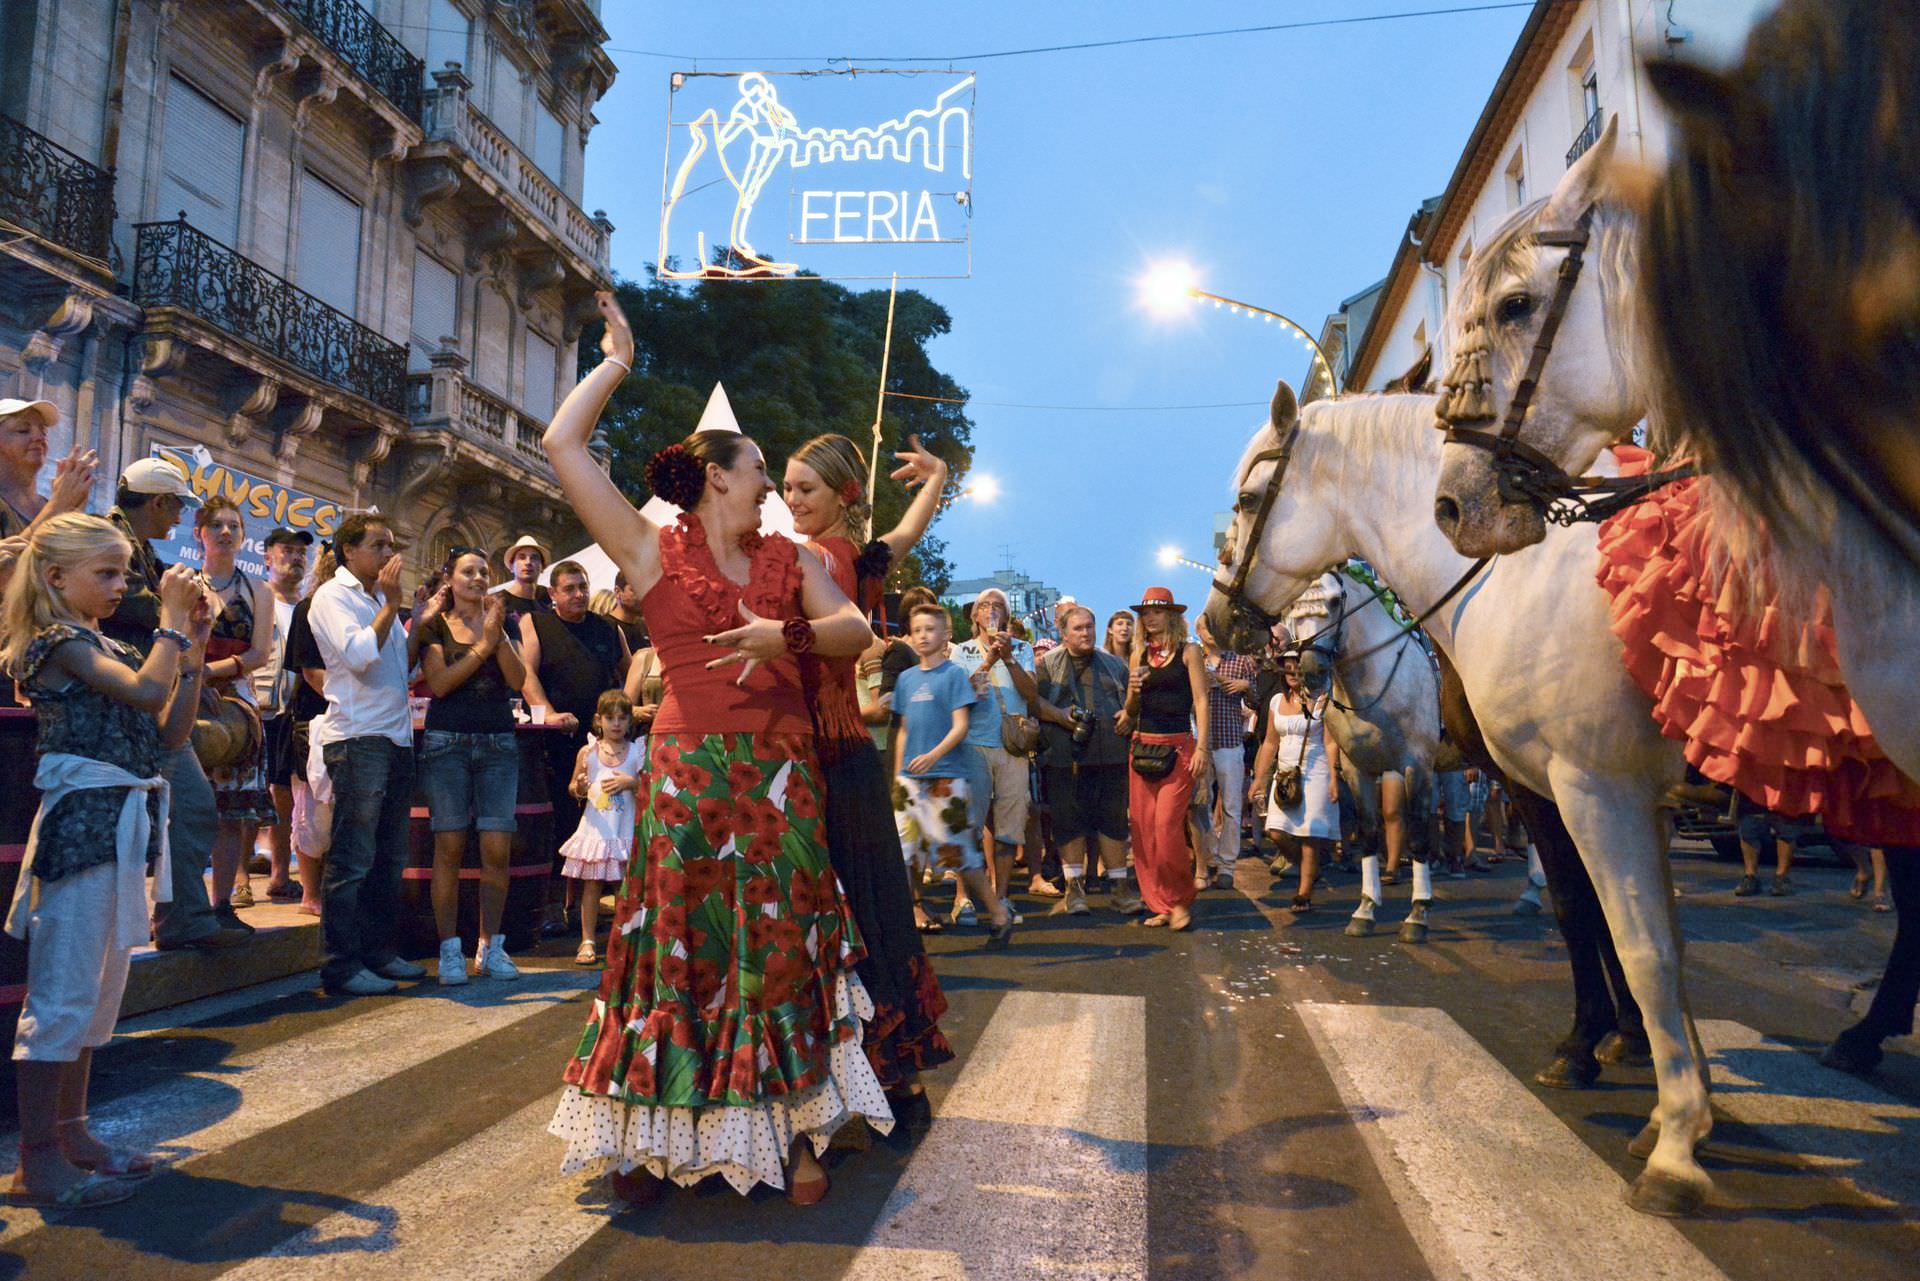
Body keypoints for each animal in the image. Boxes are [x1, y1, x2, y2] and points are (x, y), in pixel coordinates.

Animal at [1282, 572, 1436, 941]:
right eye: (1293, 603)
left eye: (1336, 600)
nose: (1311, 669)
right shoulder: (1357, 769)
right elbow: (1367, 834)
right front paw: (1365, 909)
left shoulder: (1418, 765)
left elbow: (1418, 834)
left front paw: (1418, 913)